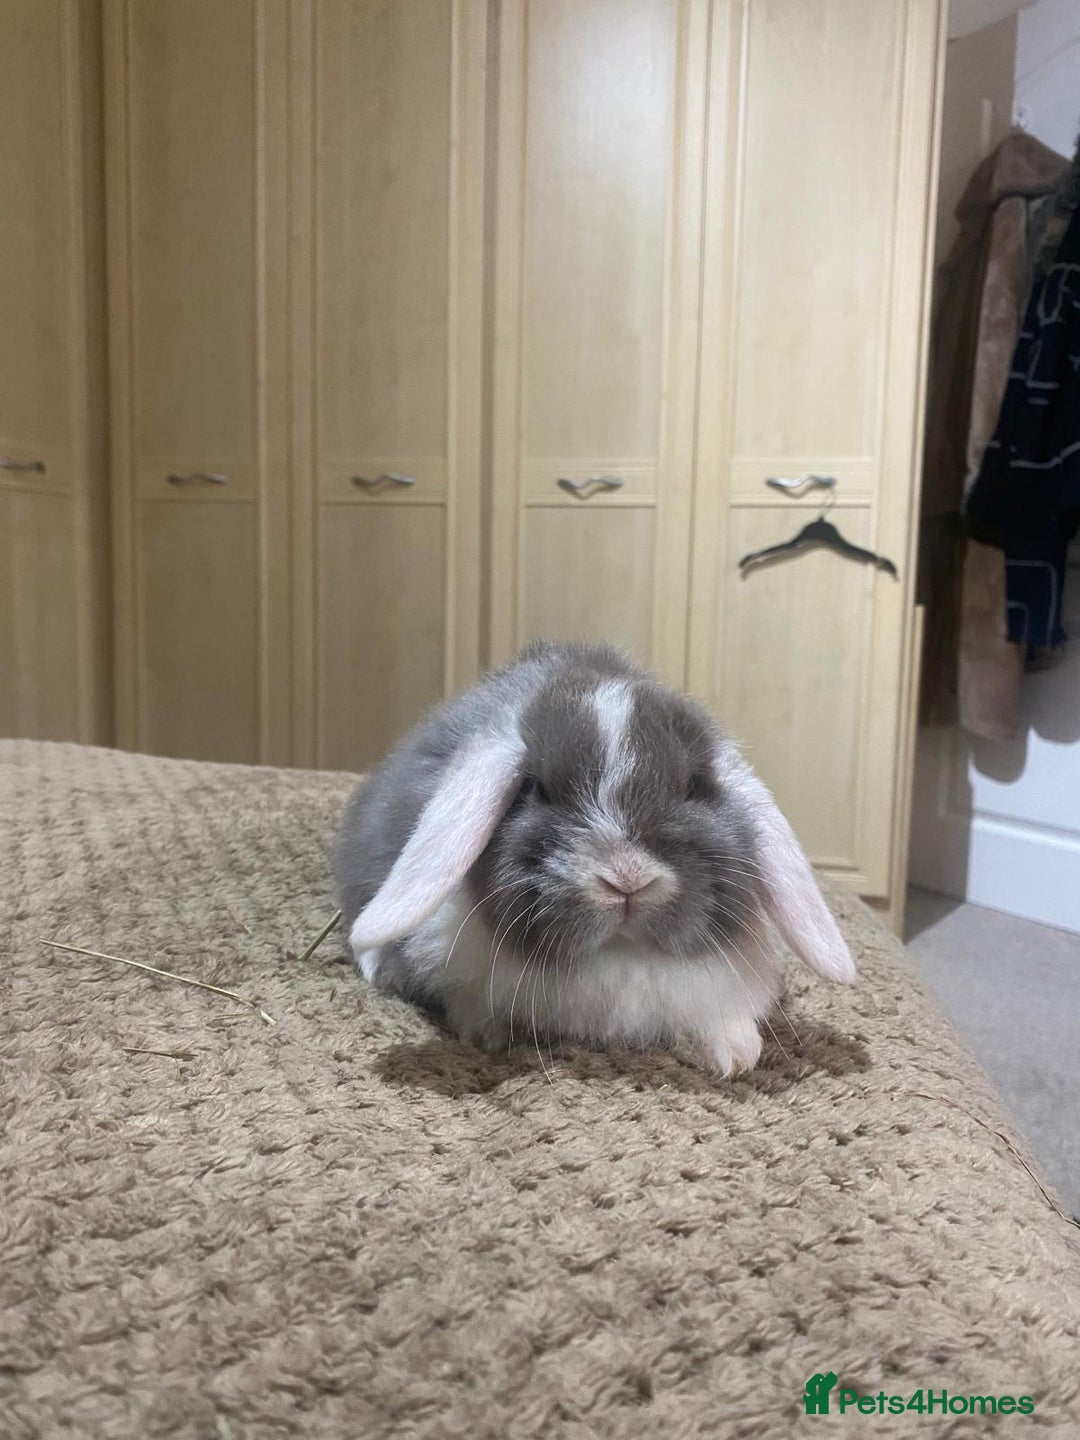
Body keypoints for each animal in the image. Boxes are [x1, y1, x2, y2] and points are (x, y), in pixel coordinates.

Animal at [334, 640, 855, 1076]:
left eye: (692, 786)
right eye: (536, 788)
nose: (627, 880)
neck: (617, 956)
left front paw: (738, 1056)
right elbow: (467, 998)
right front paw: (488, 1036)